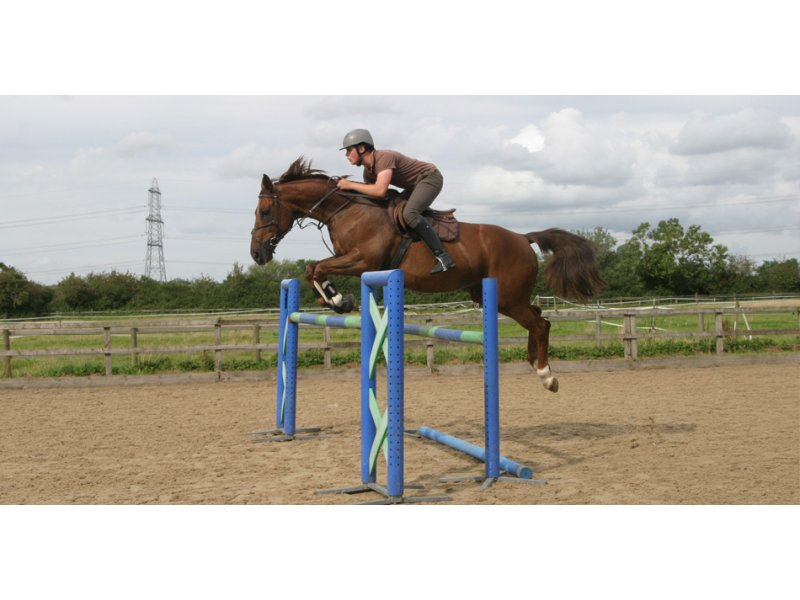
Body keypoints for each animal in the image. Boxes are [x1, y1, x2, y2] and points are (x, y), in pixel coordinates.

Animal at [251, 157, 606, 394]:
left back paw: (547, 375)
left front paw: (338, 299)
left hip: (506, 296)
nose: (257, 254)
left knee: (541, 323)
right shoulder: (357, 263)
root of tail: (523, 237)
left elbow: (318, 266)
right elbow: (314, 268)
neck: (347, 210)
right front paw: (337, 300)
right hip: (497, 296)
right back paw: (535, 363)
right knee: (538, 316)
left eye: (265, 212)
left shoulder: (362, 260)